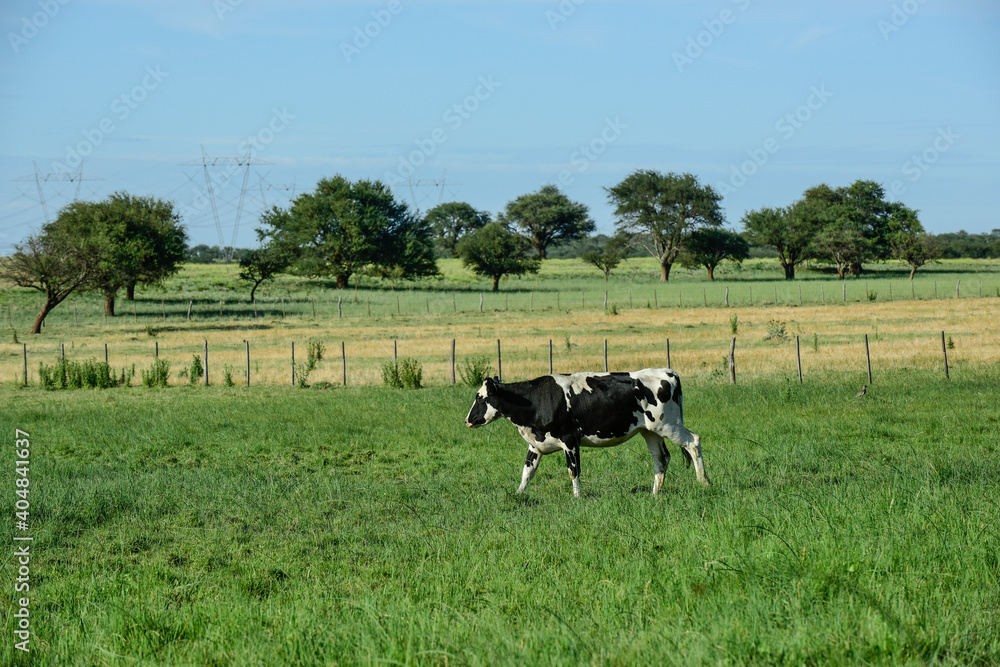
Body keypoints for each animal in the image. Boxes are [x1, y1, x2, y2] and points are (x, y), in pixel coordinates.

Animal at [464, 368, 709, 497]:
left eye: (480, 397)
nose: (467, 420)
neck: (536, 400)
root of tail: (667, 372)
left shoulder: (570, 440)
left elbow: (573, 471)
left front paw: (577, 498)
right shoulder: (535, 444)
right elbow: (527, 472)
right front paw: (518, 495)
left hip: (669, 425)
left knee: (693, 442)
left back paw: (704, 482)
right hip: (650, 431)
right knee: (661, 458)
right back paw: (655, 494)